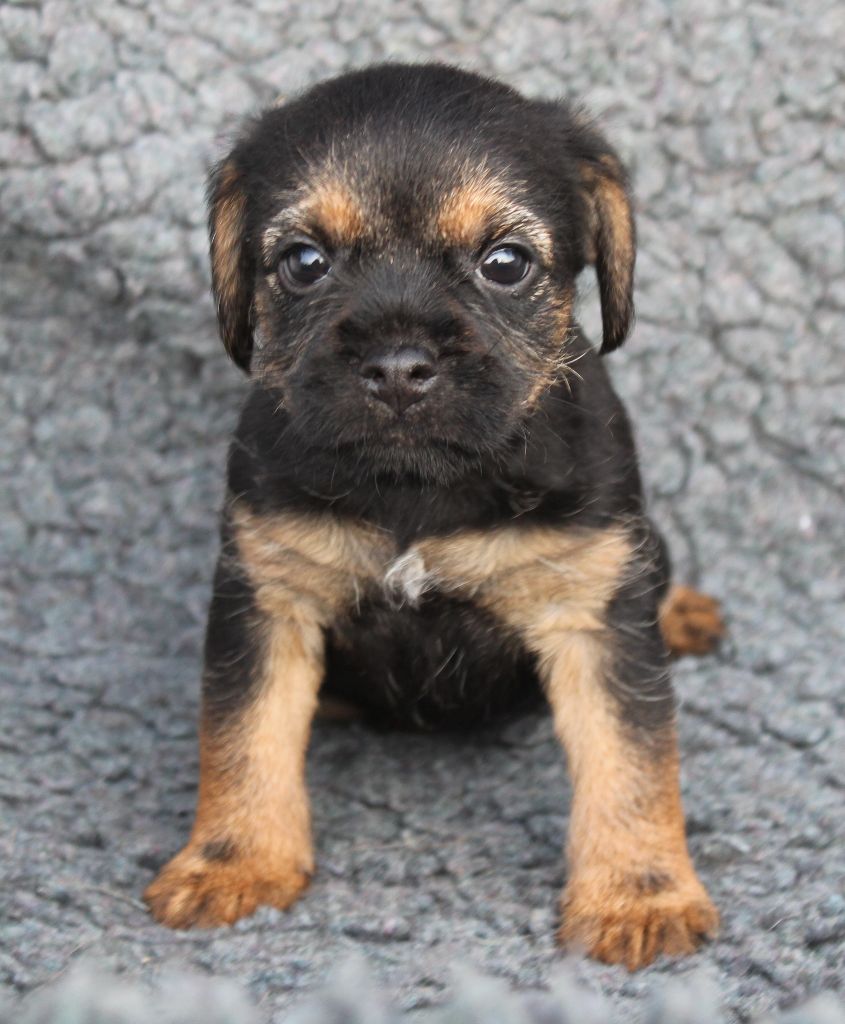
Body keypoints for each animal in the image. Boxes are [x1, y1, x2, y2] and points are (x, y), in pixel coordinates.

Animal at [144, 63, 724, 969]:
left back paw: (686, 611)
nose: (396, 364)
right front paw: (232, 861)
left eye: (505, 263)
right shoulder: (267, 602)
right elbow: (241, 738)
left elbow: (631, 761)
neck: (418, 483)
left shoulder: (592, 611)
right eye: (303, 262)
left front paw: (638, 892)